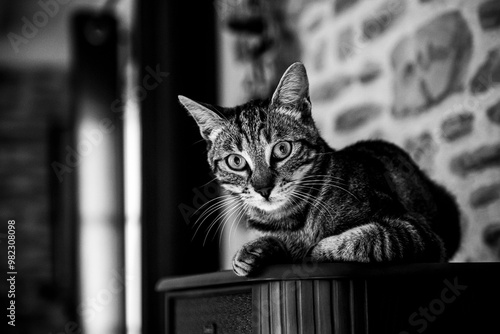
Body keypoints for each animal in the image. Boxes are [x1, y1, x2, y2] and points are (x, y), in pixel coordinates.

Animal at [179, 62, 460, 276]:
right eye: (236, 162)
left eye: (282, 149)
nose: (263, 188)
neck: (292, 221)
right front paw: (251, 250)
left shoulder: (415, 231)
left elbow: (368, 239)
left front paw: (314, 250)